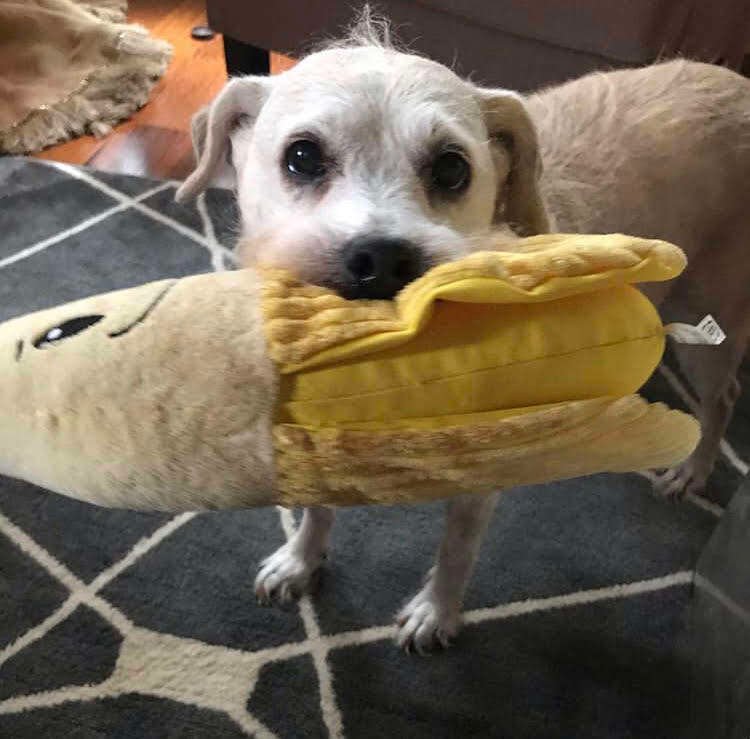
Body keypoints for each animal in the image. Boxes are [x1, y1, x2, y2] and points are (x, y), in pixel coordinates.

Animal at [178, 15, 750, 652]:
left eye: (452, 168)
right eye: (302, 156)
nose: (381, 259)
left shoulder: (481, 479)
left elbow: (456, 550)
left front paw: (436, 613)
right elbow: (317, 508)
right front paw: (301, 560)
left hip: (714, 319)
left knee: (723, 396)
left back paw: (693, 469)